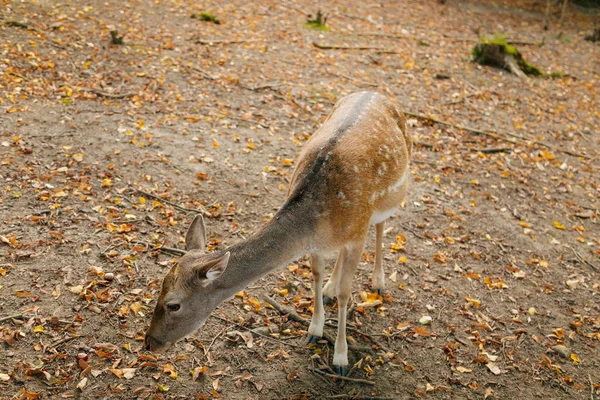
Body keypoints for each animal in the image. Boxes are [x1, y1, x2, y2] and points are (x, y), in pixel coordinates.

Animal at [144, 90, 412, 376]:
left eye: (173, 305)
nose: (149, 343)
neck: (320, 222)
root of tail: (376, 92)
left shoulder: (357, 235)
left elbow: (345, 293)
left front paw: (341, 358)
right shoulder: (317, 245)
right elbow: (316, 275)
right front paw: (314, 329)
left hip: (391, 197)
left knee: (381, 225)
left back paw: (378, 283)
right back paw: (330, 289)